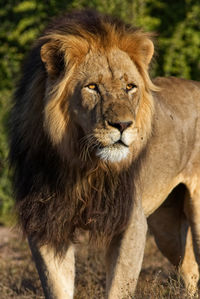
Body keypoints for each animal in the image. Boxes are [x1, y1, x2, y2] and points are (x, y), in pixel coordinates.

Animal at [9, 9, 200, 299]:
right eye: (92, 87)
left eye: (130, 87)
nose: (122, 125)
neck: (83, 162)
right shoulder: (47, 222)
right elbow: (57, 286)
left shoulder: (130, 222)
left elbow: (119, 288)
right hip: (166, 226)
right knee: (189, 268)